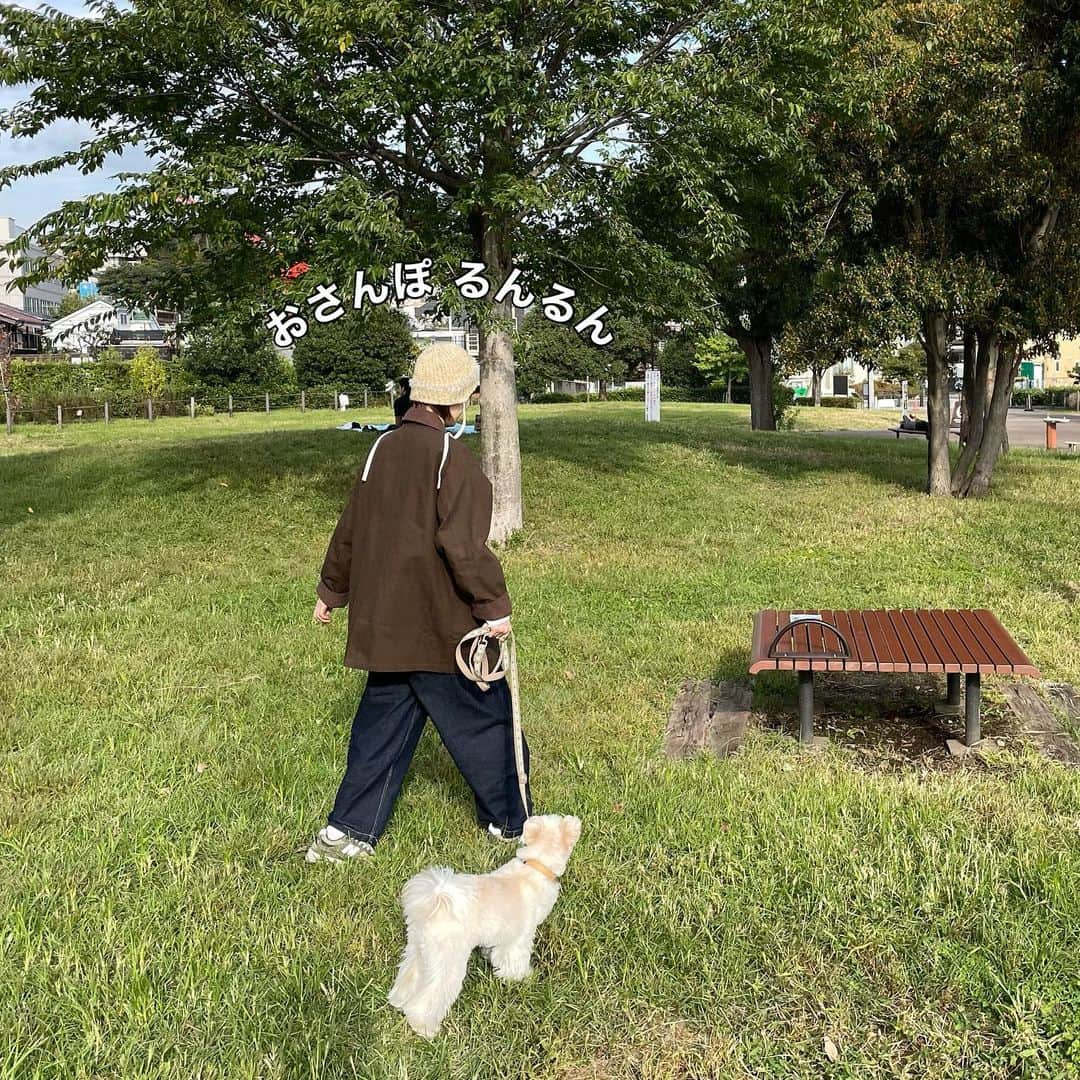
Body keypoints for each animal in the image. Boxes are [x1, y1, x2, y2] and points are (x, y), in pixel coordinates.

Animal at [388, 812, 583, 1032]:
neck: (535, 864)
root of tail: (437, 902)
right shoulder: (520, 937)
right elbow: (514, 960)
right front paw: (521, 977)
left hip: (418, 951)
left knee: (409, 977)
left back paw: (398, 1000)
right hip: (449, 961)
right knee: (431, 997)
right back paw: (423, 1026)